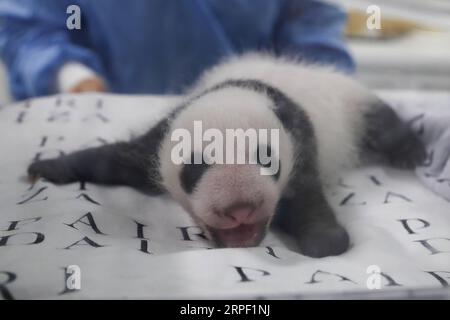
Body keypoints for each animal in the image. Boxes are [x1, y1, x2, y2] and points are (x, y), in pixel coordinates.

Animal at [28, 52, 426, 258]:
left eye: (267, 158)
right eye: (195, 167)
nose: (240, 209)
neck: (238, 90)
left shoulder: (299, 141)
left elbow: (307, 198)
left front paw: (326, 240)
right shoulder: (159, 142)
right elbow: (111, 160)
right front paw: (47, 166)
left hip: (352, 105)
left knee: (384, 124)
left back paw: (412, 152)